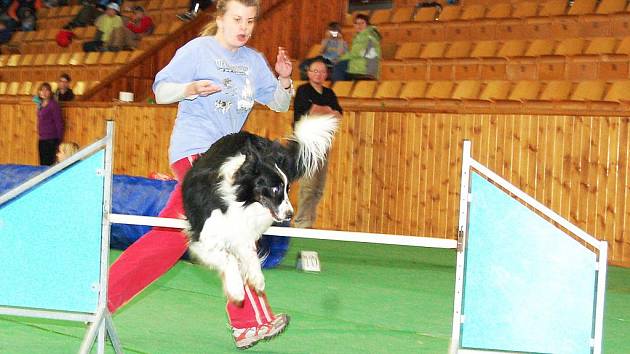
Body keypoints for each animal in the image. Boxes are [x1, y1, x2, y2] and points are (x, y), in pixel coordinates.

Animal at [183, 115, 340, 302]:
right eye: (275, 189)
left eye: (287, 189)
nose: (290, 214)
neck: (240, 199)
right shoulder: (204, 239)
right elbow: (229, 258)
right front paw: (236, 289)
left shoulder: (241, 232)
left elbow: (249, 254)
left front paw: (256, 278)